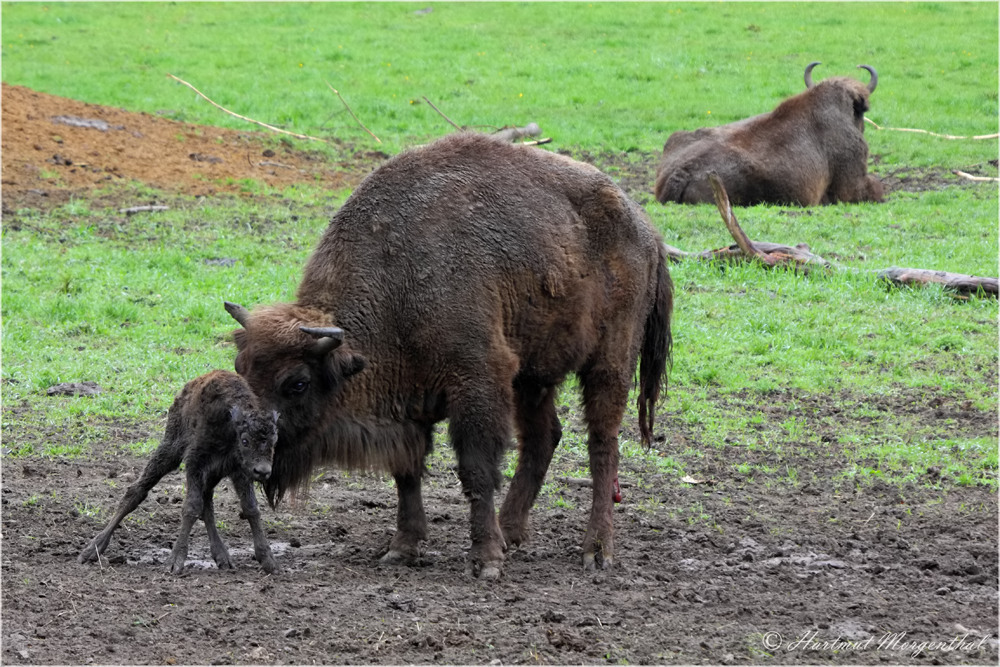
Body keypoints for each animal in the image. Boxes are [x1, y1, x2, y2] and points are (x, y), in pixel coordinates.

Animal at [76, 368, 282, 576]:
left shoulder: (238, 471)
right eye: (245, 440)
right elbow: (191, 507)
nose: (263, 471)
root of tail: (185, 390)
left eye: (274, 442)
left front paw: (268, 560)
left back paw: (222, 557)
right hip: (170, 450)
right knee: (136, 490)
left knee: (207, 505)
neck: (230, 424)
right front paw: (175, 561)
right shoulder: (195, 464)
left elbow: (251, 508)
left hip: (212, 474)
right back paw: (92, 549)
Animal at [226, 132, 676, 580]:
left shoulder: (478, 382)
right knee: (543, 438)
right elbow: (407, 474)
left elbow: (476, 469)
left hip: (609, 362)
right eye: (240, 369)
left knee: (602, 445)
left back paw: (596, 551)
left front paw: (485, 560)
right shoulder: (410, 404)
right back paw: (511, 531)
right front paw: (402, 548)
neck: (399, 281)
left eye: (297, 383)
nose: (251, 456)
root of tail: (647, 231)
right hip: (533, 375)